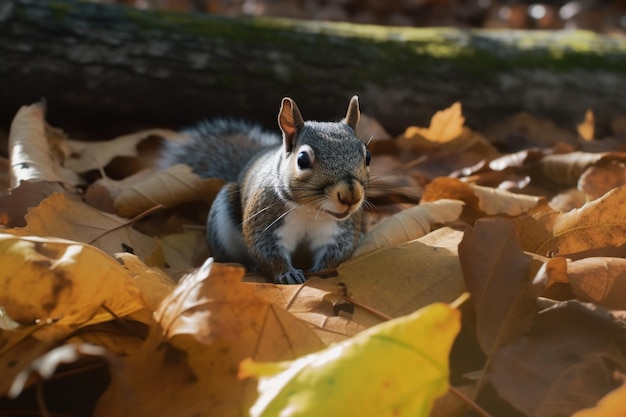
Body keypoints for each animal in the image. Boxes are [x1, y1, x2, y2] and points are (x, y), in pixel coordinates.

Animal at [158, 97, 368, 284]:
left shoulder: (340, 230)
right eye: (302, 160)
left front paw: (322, 273)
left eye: (368, 156)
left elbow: (337, 252)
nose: (351, 196)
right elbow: (266, 249)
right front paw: (287, 274)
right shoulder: (265, 218)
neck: (309, 211)